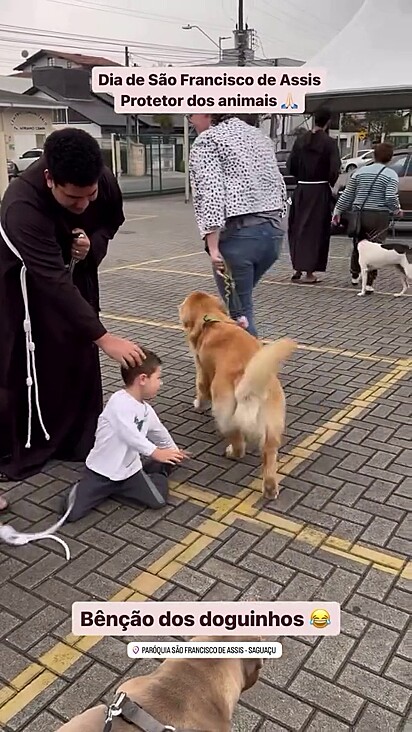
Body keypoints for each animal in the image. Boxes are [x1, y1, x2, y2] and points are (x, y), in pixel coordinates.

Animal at [179, 292, 298, 498]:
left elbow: (201, 389)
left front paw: (197, 404)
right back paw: (270, 488)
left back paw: (230, 452)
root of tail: (246, 380)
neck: (211, 320)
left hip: (224, 412)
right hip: (273, 422)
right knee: (269, 455)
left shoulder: (202, 370)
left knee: (239, 444)